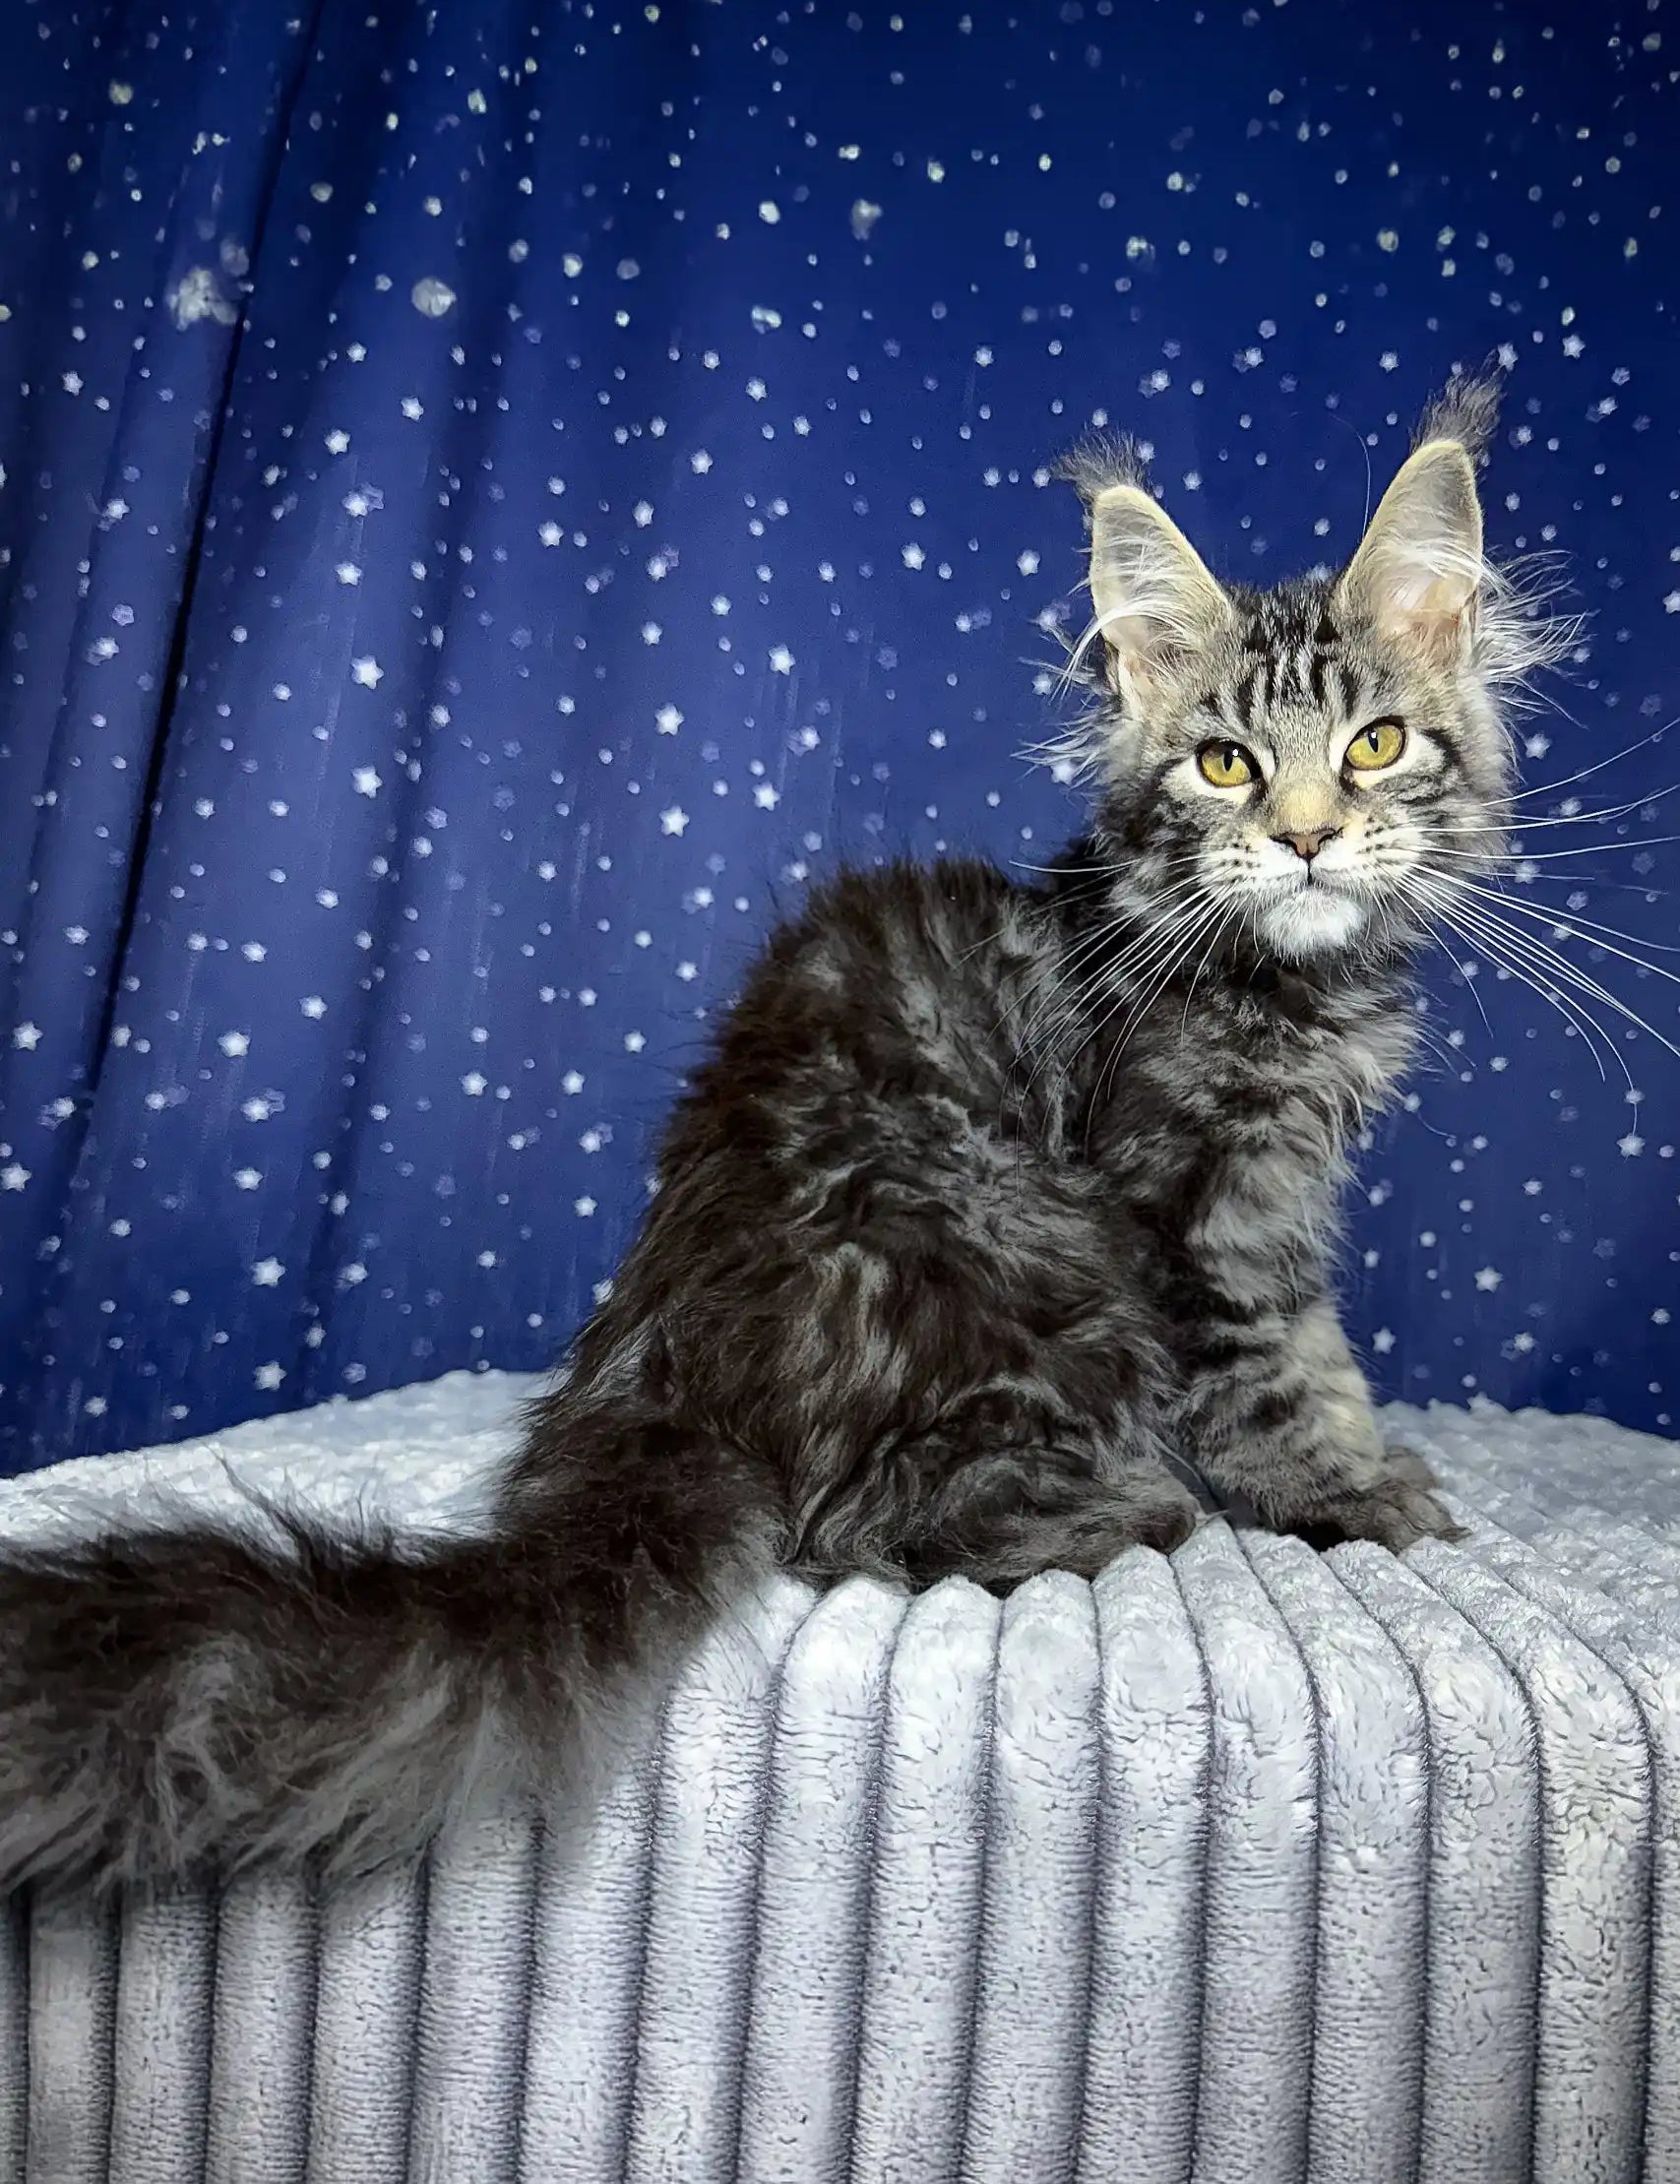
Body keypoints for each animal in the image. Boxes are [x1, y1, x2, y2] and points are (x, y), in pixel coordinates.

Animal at [0, 375, 1555, 1896]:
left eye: (1371, 746)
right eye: (1225, 764)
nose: (1304, 836)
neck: (1277, 982)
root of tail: (664, 1371)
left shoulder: (1277, 1202)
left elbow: (1320, 1355)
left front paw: (1375, 1467)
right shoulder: (1192, 1210)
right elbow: (1273, 1376)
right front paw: (1352, 1499)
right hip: (1024, 1256)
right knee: (868, 1530)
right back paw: (1128, 1513)